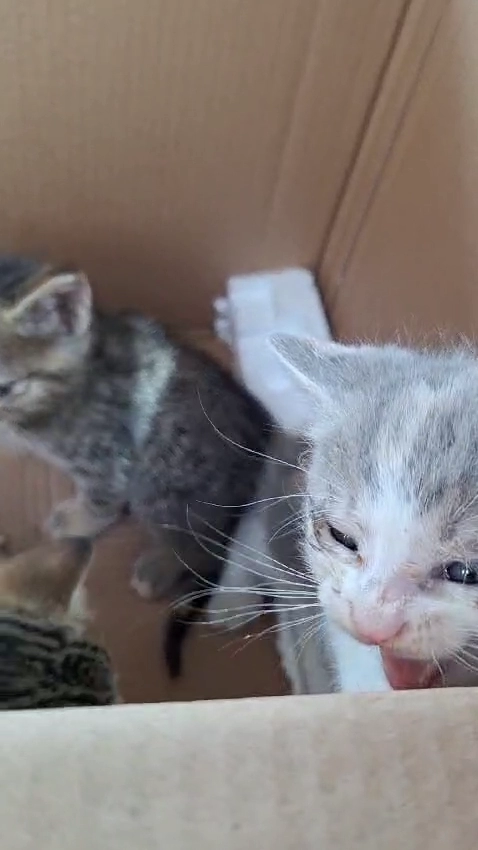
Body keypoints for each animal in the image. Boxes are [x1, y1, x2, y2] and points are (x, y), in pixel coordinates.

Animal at [0, 256, 272, 676]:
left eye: (4, 388)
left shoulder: (108, 455)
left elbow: (102, 499)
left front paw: (79, 520)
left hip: (161, 480)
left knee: (198, 544)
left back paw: (160, 567)